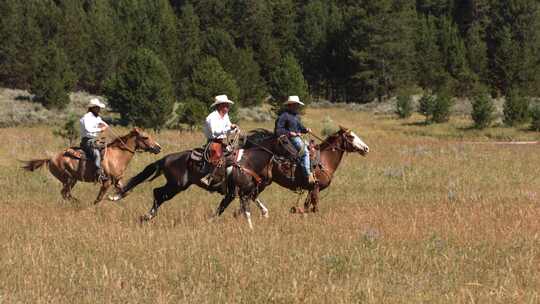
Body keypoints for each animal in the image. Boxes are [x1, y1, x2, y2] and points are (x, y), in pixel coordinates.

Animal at [22, 128, 161, 204]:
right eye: (145, 137)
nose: (158, 147)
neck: (117, 155)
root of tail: (51, 158)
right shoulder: (106, 183)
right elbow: (98, 199)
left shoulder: (117, 181)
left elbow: (126, 191)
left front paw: (113, 198)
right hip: (68, 179)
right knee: (65, 193)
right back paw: (78, 202)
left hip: (72, 180)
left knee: (66, 194)